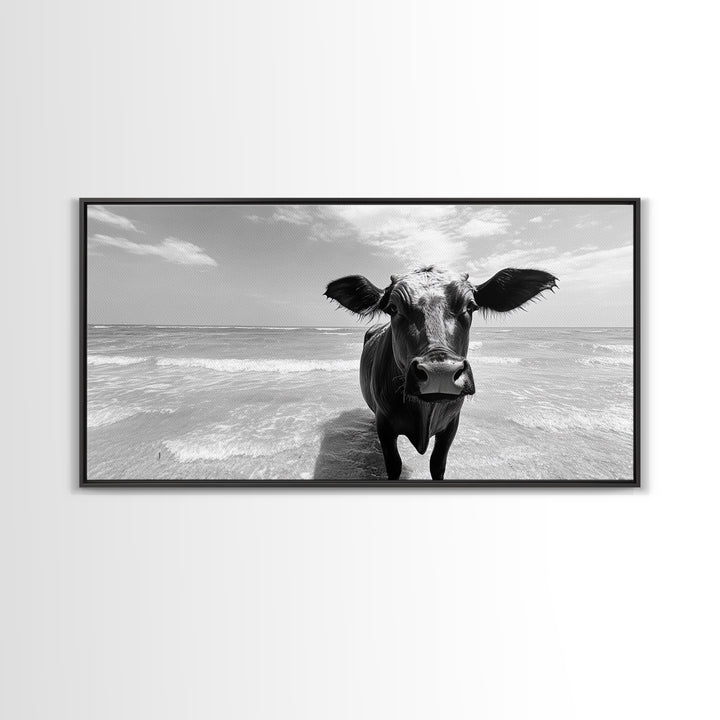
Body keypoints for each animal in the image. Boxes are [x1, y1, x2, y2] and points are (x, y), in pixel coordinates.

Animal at [324, 266, 557, 480]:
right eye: (393, 307)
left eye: (470, 306)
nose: (440, 372)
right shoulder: (385, 424)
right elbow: (394, 465)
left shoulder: (451, 425)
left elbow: (437, 464)